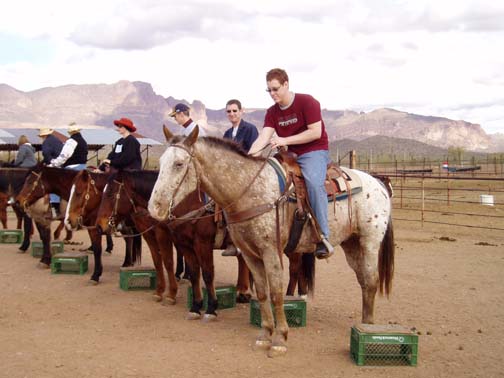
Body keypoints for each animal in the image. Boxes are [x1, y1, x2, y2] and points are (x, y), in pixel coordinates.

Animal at [146, 126, 394, 358]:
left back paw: (367, 327)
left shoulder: (269, 251)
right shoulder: (249, 253)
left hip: (369, 241)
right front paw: (265, 335)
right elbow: (263, 292)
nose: (154, 208)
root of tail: (378, 182)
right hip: (351, 244)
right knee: (363, 282)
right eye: (161, 162)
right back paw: (364, 325)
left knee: (371, 280)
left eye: (179, 164)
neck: (249, 191)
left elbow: (275, 293)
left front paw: (280, 339)